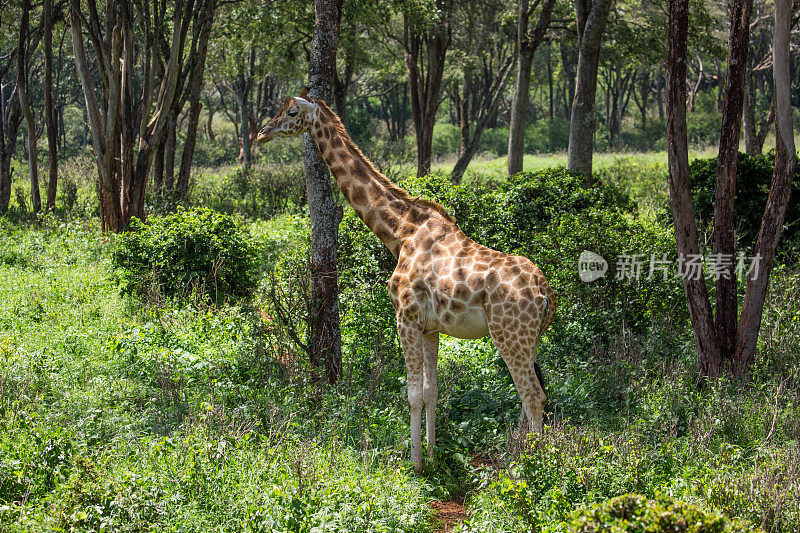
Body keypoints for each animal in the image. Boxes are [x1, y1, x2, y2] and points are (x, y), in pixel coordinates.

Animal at [258, 88, 556, 474]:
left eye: (292, 112)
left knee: (533, 396)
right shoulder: (430, 327)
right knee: (533, 395)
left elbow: (412, 393)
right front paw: (431, 454)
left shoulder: (405, 318)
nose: (262, 134)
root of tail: (546, 294)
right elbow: (431, 391)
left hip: (509, 335)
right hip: (528, 338)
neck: (400, 232)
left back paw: (532, 466)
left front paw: (413, 465)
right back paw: (523, 453)